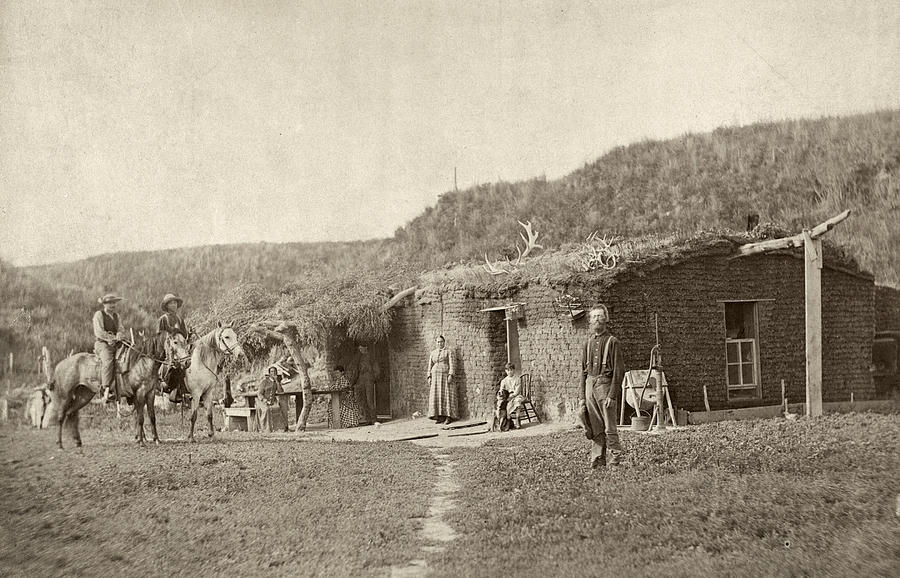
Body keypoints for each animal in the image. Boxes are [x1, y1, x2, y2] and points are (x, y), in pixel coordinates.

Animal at [50, 330, 190, 448]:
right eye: (175, 342)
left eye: (185, 341)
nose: (187, 362)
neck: (143, 362)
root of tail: (60, 365)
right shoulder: (140, 393)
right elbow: (140, 418)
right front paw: (141, 442)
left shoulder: (150, 394)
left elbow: (152, 417)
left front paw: (156, 440)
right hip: (65, 396)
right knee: (61, 416)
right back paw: (59, 444)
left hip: (84, 396)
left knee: (70, 414)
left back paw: (77, 441)